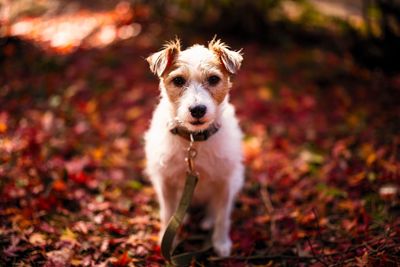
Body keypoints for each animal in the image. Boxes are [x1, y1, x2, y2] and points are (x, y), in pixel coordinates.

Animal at [144, 37, 244, 258]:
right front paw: (167, 240)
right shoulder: (165, 182)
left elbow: (222, 216)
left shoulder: (226, 181)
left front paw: (220, 242)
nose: (197, 109)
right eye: (178, 81)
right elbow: (167, 213)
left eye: (213, 79)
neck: (194, 139)